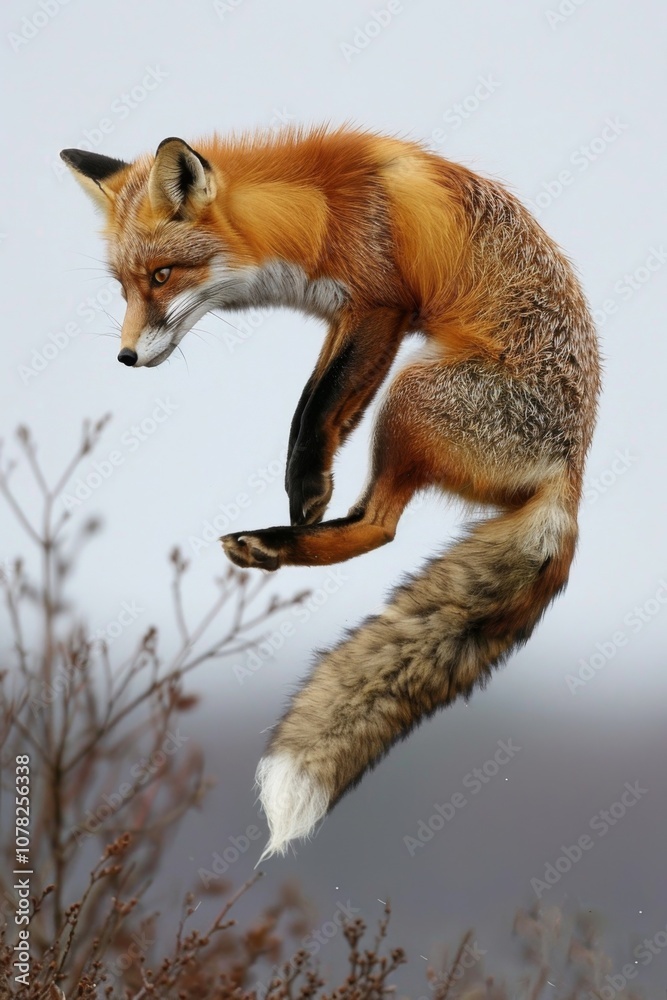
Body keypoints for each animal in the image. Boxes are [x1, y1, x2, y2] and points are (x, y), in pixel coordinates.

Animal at [61, 125, 601, 859]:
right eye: (123, 286)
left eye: (163, 276)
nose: (125, 358)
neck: (317, 211)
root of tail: (568, 473)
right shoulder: (342, 317)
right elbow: (311, 412)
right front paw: (309, 482)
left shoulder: (379, 305)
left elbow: (316, 410)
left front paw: (306, 487)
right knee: (376, 521)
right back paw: (277, 542)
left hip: (410, 395)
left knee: (380, 526)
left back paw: (277, 540)